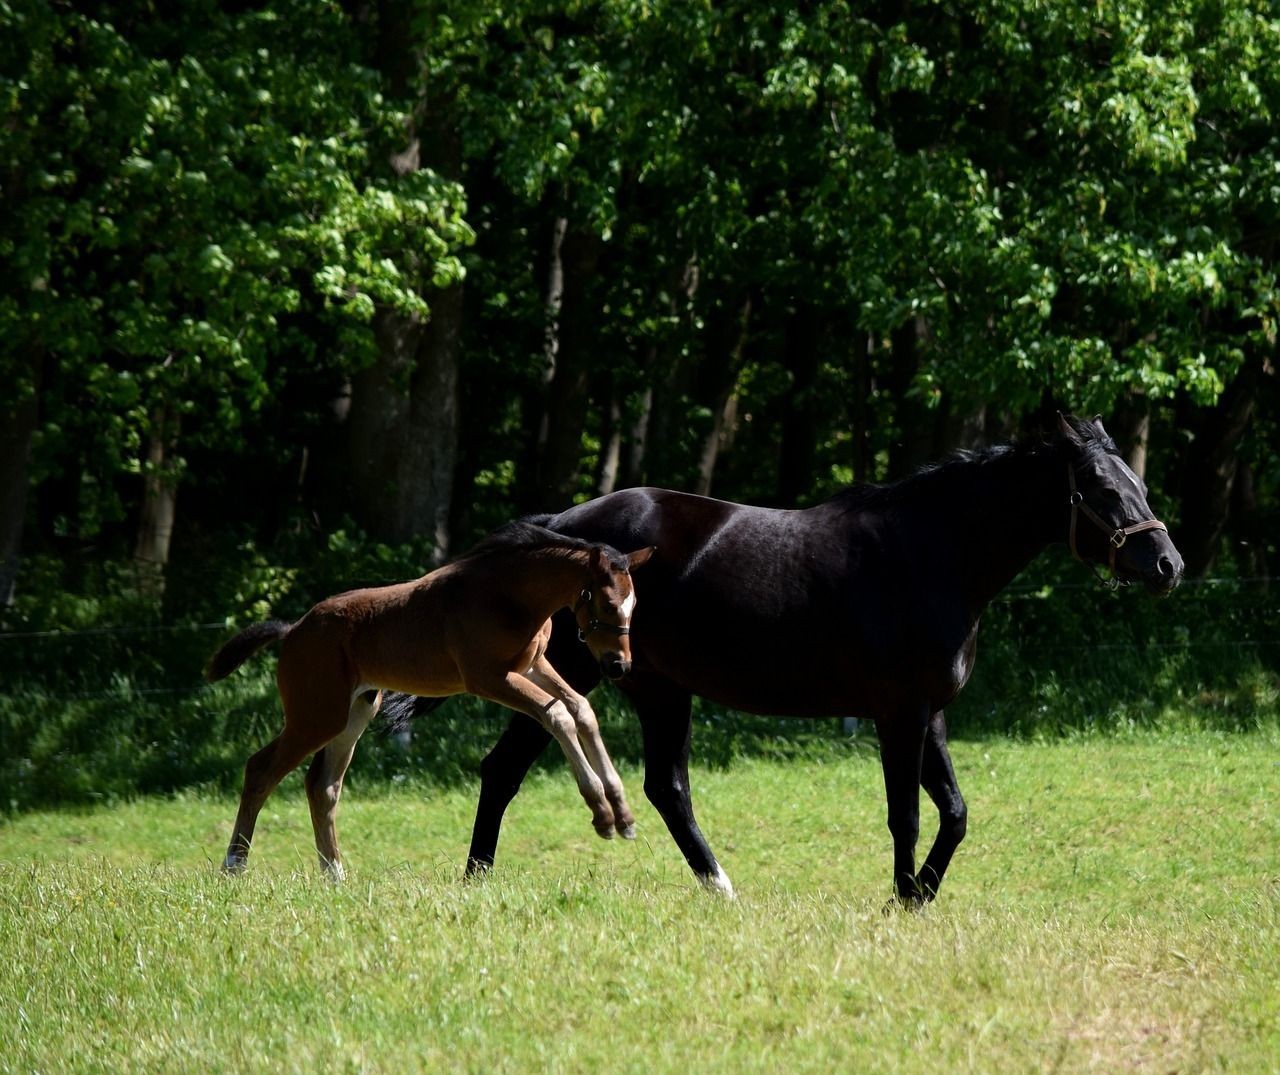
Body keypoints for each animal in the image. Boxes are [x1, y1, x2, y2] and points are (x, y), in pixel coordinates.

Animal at [205, 522, 654, 879]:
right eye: (607, 602)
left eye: (634, 604)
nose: (619, 665)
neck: (507, 595)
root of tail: (293, 629)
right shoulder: (491, 679)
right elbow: (559, 714)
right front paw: (602, 814)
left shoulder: (532, 666)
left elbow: (582, 709)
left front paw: (623, 814)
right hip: (315, 716)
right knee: (261, 770)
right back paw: (234, 866)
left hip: (354, 713)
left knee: (322, 785)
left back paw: (335, 875)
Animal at [390, 414, 1183, 905]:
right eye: (1101, 489)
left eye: (1140, 484)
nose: (1167, 564)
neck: (930, 553)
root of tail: (562, 525)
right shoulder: (898, 713)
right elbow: (906, 815)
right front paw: (902, 898)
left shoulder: (930, 714)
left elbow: (954, 812)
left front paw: (920, 895)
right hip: (587, 673)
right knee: (524, 771)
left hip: (652, 686)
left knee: (646, 785)